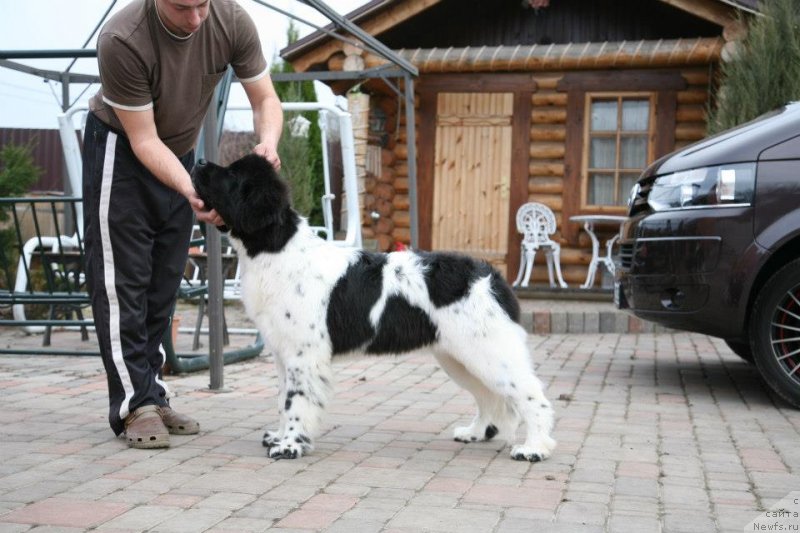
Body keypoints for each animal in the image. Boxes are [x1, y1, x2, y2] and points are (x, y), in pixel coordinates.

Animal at [192, 155, 556, 462]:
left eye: (232, 175)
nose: (198, 161)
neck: (276, 248)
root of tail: (492, 277)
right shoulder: (284, 353)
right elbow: (283, 400)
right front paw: (280, 436)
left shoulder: (303, 355)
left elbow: (296, 401)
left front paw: (290, 445)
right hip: (460, 356)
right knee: (488, 397)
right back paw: (475, 432)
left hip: (490, 352)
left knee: (532, 397)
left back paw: (534, 449)